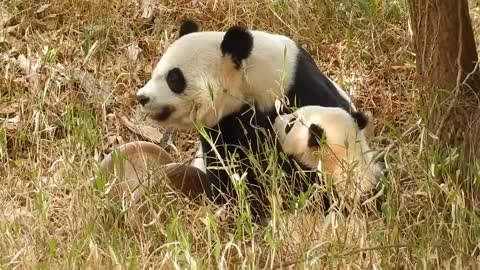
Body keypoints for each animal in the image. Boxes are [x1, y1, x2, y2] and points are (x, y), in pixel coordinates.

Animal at [135, 20, 364, 219]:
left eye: (174, 78)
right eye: (155, 72)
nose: (142, 97)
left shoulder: (300, 89)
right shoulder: (223, 125)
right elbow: (229, 169)